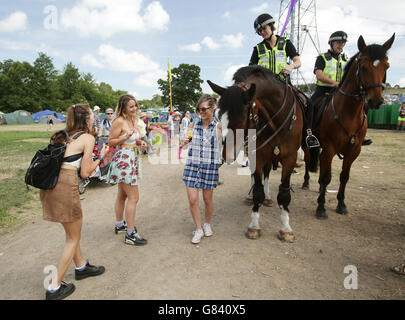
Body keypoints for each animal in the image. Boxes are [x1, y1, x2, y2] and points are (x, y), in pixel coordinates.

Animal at [208, 67, 304, 242]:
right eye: (218, 116)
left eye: (240, 118)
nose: (225, 155)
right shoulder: (257, 155)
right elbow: (257, 190)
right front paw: (254, 225)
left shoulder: (290, 158)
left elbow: (284, 194)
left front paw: (286, 228)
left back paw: (268, 197)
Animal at [302, 35, 392, 220]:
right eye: (363, 68)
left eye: (386, 66)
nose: (376, 101)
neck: (349, 113)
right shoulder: (329, 147)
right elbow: (327, 177)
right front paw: (321, 207)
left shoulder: (354, 150)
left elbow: (344, 177)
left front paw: (341, 204)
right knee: (308, 161)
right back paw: (306, 182)